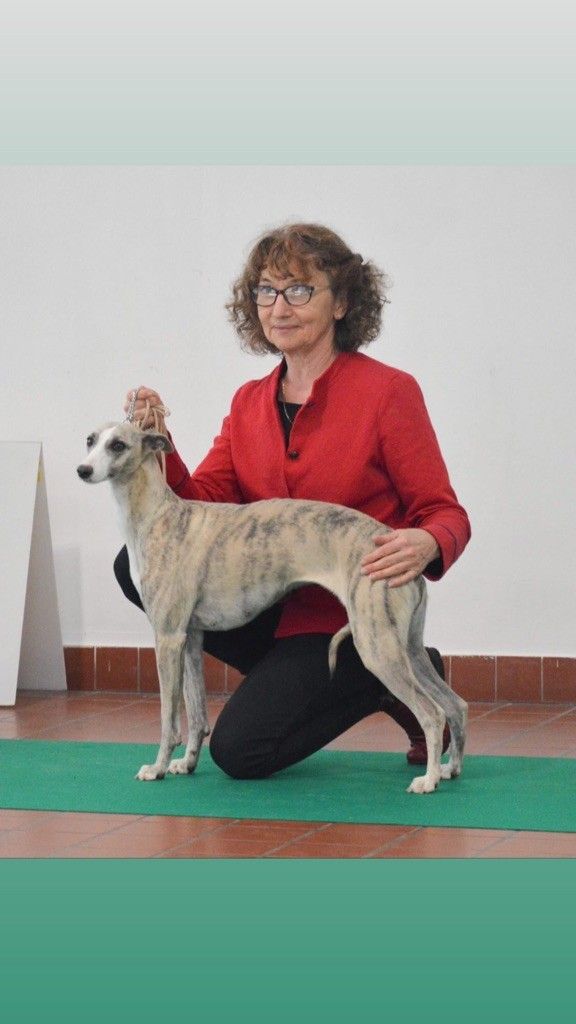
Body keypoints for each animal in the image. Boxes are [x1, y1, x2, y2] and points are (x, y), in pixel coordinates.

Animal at [76, 419, 467, 794]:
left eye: (118, 445)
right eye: (90, 440)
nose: (82, 470)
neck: (158, 516)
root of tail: (400, 549)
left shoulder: (167, 635)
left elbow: (168, 719)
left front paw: (156, 768)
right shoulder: (190, 637)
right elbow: (198, 713)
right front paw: (186, 763)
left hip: (376, 645)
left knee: (432, 713)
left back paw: (428, 780)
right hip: (405, 644)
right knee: (454, 704)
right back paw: (449, 768)